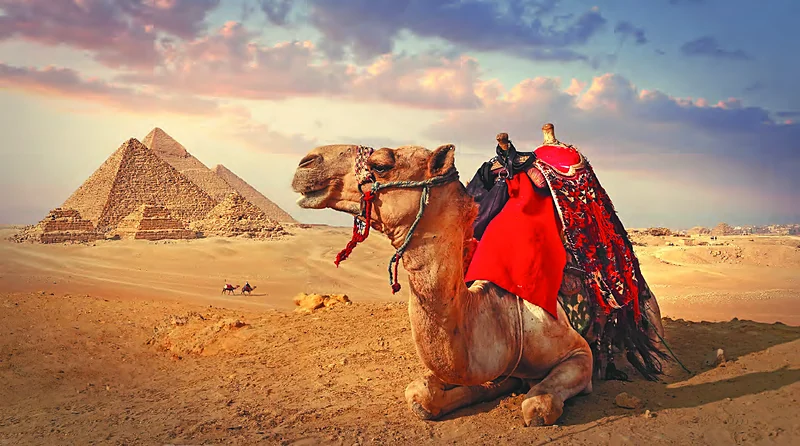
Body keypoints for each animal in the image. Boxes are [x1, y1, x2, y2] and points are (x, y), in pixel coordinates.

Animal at [291, 143, 665, 426]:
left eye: (381, 164)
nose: (306, 162)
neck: (500, 318)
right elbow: (421, 395)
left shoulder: (578, 353)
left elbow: (537, 406)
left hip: (646, 313)